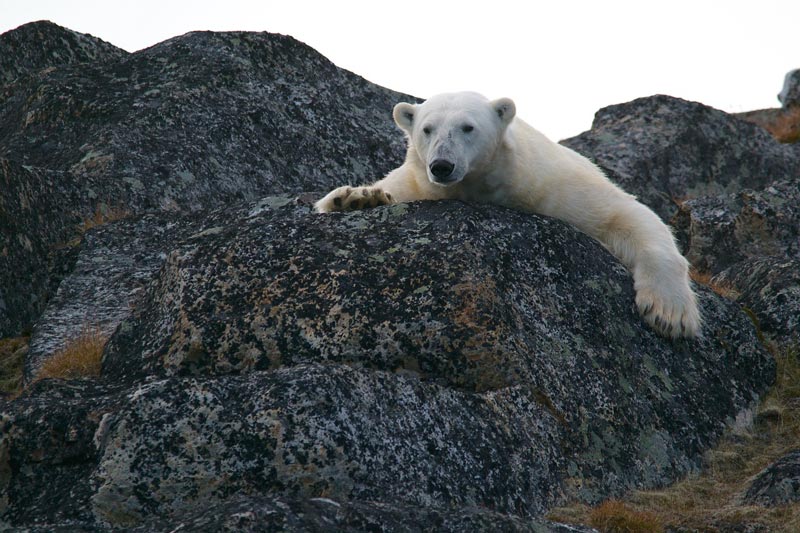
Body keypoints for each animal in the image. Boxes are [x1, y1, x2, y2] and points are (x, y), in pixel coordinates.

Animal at [312, 91, 700, 336]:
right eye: (427, 129)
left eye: (468, 127)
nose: (442, 165)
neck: (483, 185)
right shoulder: (417, 183)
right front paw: (356, 198)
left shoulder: (553, 185)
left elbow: (625, 214)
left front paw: (669, 314)